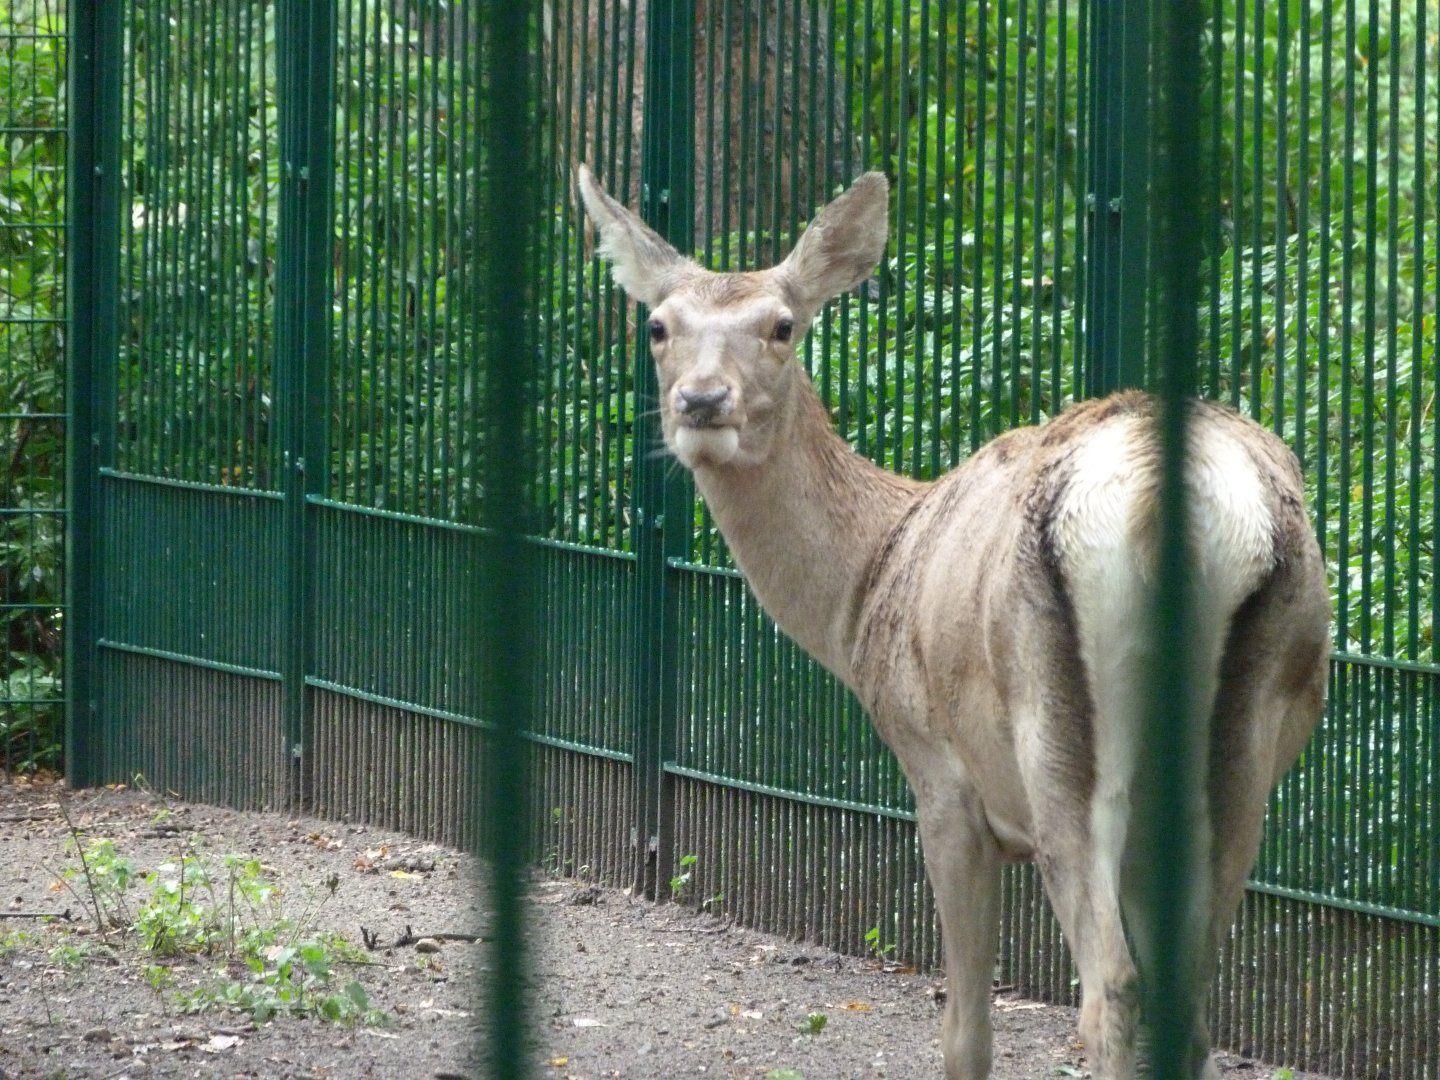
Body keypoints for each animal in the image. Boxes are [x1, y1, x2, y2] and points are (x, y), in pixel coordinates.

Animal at [577, 164, 1331, 1080]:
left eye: (783, 324)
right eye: (658, 325)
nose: (702, 400)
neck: (867, 586)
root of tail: (1171, 506)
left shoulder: (938, 775)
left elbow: (964, 1028)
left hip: (1056, 735)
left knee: (1110, 990)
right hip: (1248, 747)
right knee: (1185, 1007)